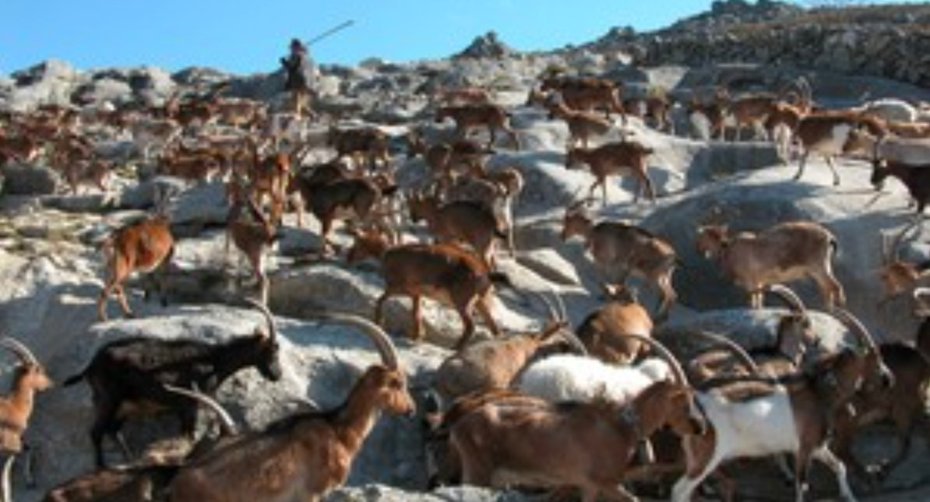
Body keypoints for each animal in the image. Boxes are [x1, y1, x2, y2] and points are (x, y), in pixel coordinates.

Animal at [64, 299, 281, 467]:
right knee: (96, 432)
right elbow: (189, 435)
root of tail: (90, 366)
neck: (214, 360)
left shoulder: (188, 405)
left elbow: (187, 435)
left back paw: (130, 460)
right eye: (273, 350)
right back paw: (101, 467)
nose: (277, 375)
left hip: (125, 405)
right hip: (108, 399)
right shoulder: (190, 403)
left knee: (113, 430)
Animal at [346, 229, 502, 349]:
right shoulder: (416, 294)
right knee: (493, 327)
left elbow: (380, 299)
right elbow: (416, 313)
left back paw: (456, 348)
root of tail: (484, 275)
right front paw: (417, 336)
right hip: (479, 302)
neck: (387, 253)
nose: (348, 258)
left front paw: (379, 322)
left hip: (462, 302)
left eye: (356, 243)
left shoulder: (398, 287)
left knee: (471, 326)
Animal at [671, 308, 894, 502]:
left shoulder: (817, 447)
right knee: (679, 491)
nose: (888, 379)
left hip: (694, 458)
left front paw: (849, 496)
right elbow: (801, 485)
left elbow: (839, 466)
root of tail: (695, 409)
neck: (819, 393)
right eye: (875, 357)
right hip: (707, 458)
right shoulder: (804, 448)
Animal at [696, 220, 845, 309]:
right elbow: (759, 300)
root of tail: (829, 237)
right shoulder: (759, 282)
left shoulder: (750, 282)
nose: (698, 249)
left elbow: (753, 300)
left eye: (701, 237)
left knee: (834, 286)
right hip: (822, 268)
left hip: (818, 266)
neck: (728, 250)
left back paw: (834, 308)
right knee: (827, 288)